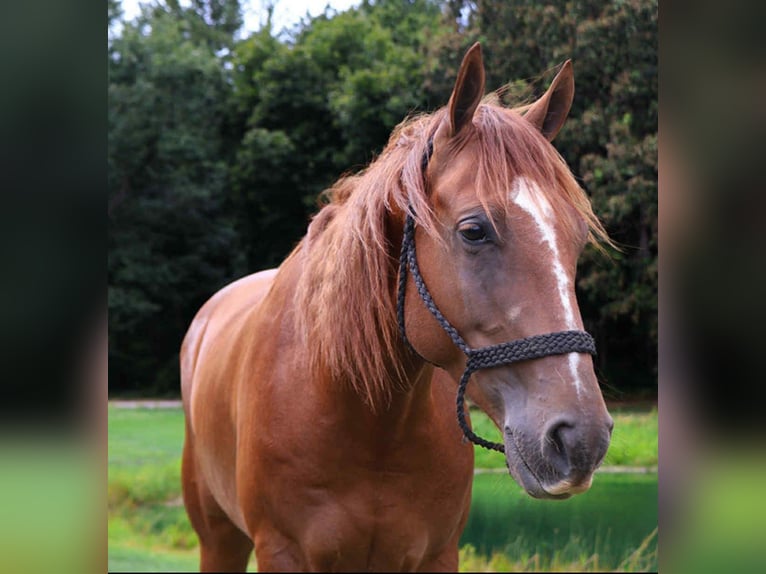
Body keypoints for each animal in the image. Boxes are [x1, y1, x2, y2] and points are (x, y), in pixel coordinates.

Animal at [180, 42, 614, 572]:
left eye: (577, 238)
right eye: (474, 230)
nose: (581, 438)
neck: (369, 423)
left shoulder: (437, 554)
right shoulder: (282, 552)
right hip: (218, 539)